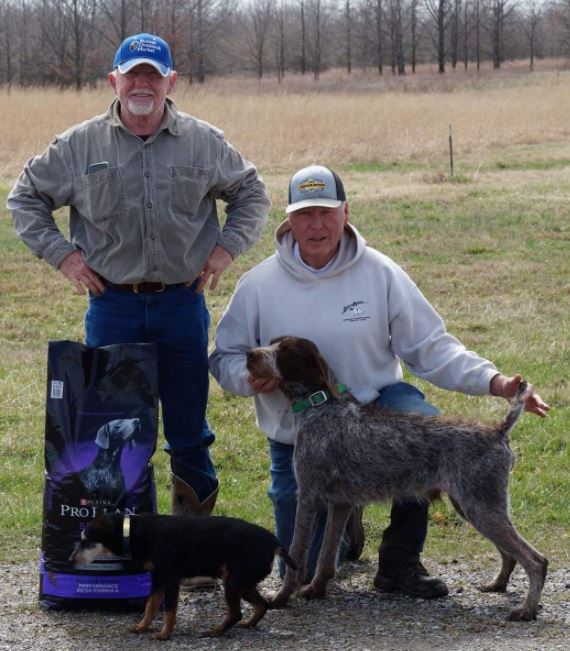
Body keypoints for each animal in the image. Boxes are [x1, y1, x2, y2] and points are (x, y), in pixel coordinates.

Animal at [69, 512, 296, 640]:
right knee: (262, 605)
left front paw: (164, 635)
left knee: (235, 613)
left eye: (86, 541)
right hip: (243, 583)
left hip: (233, 582)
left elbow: (169, 611)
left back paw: (215, 632)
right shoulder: (158, 579)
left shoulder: (170, 579)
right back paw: (248, 624)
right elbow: (150, 606)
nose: (70, 560)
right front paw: (142, 627)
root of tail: (273, 541)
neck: (131, 531)